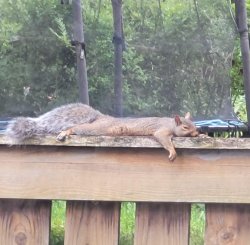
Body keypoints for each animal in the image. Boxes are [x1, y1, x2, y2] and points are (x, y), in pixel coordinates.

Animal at [4, 103, 198, 161]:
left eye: (195, 125)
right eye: (185, 127)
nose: (196, 134)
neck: (171, 124)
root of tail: (100, 117)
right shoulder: (162, 131)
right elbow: (164, 139)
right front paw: (172, 151)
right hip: (96, 129)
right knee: (77, 128)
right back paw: (65, 132)